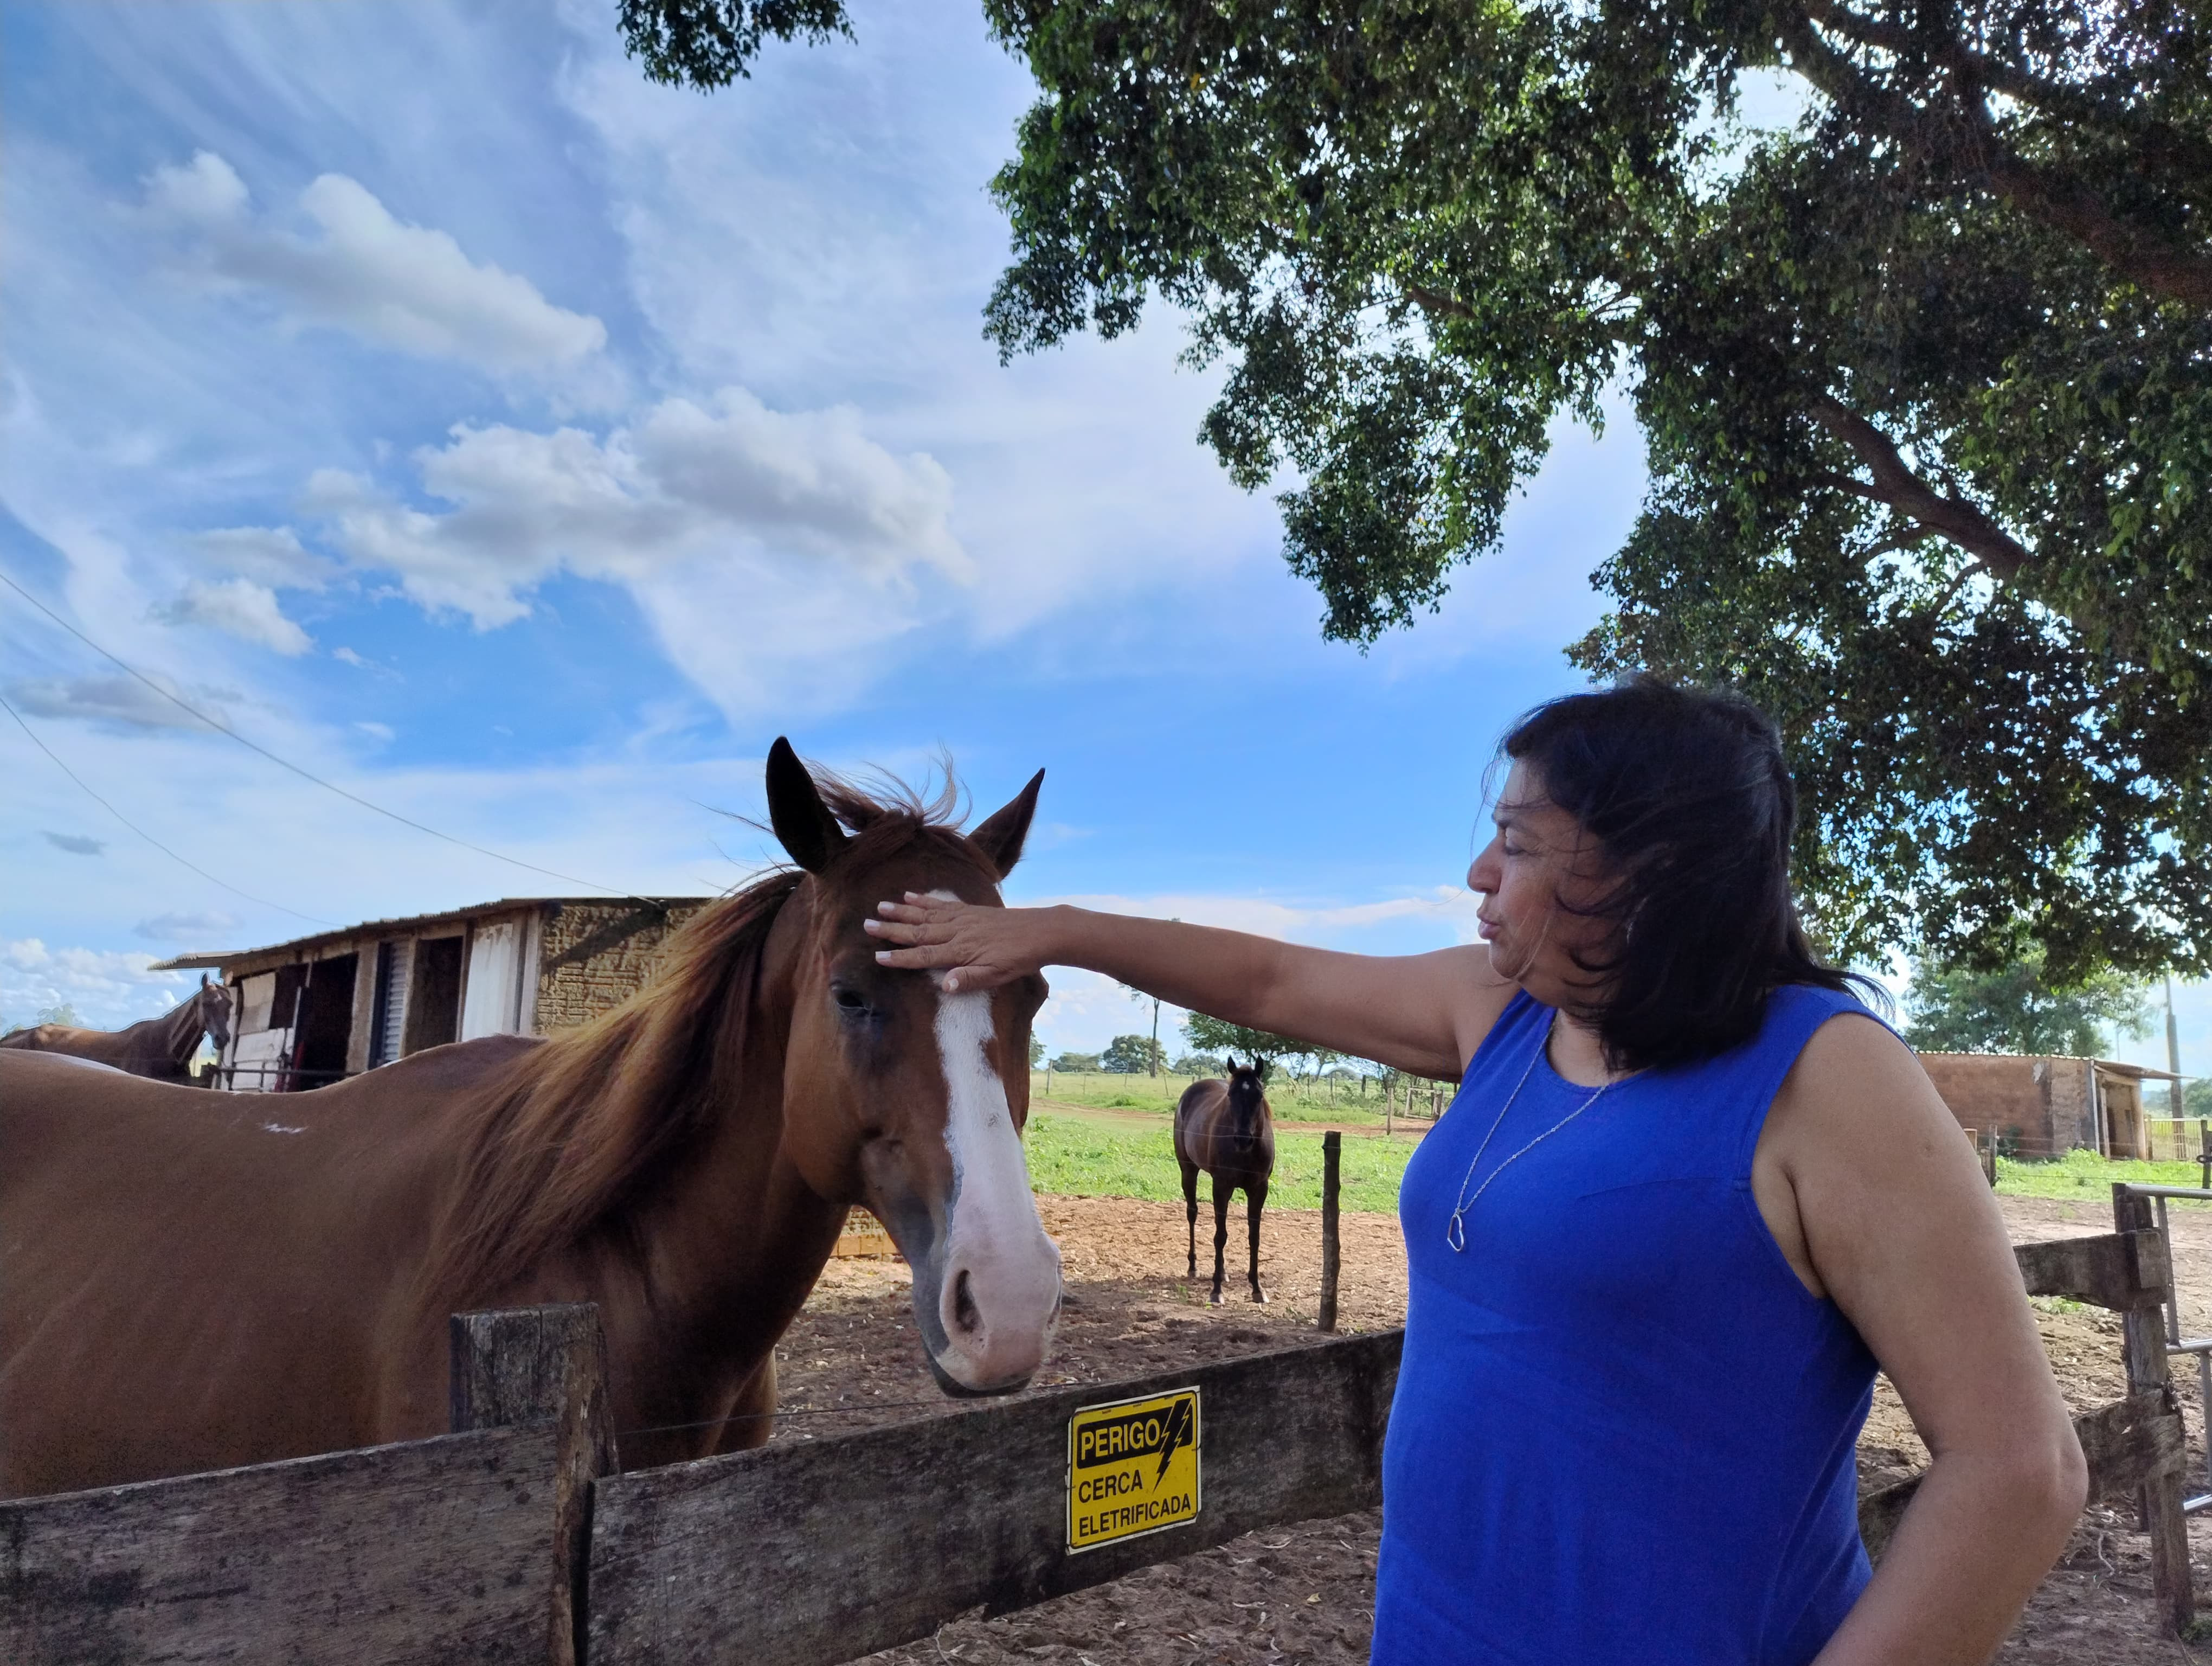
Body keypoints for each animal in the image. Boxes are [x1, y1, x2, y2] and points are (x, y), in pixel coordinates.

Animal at [1176, 1058, 1283, 1310]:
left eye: (1259, 1094)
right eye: (1231, 1095)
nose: (1243, 1139)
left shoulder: (1259, 1190)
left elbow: (1254, 1237)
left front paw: (1257, 1289)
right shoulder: (1221, 1186)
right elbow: (1220, 1236)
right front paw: (1216, 1291)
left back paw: (1224, 1272)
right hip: (1188, 1170)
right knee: (1193, 1213)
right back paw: (1194, 1266)